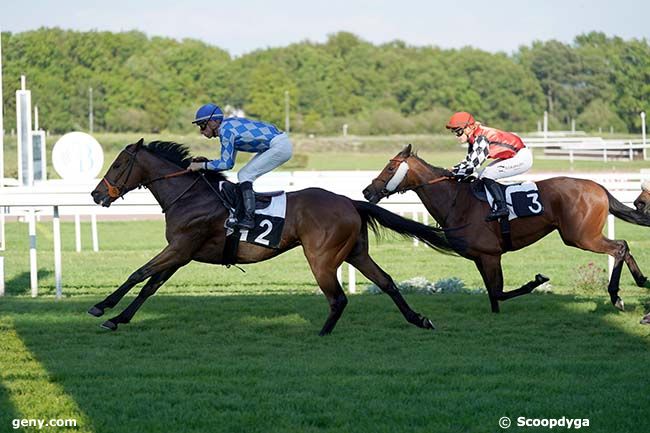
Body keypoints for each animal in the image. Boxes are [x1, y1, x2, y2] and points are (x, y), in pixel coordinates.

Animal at [88, 138, 456, 334]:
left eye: (118, 164)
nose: (96, 194)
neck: (190, 196)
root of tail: (349, 200)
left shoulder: (180, 248)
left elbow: (139, 273)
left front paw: (101, 307)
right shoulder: (183, 253)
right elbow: (150, 285)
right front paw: (118, 318)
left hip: (321, 257)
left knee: (338, 298)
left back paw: (322, 334)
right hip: (356, 252)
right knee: (387, 282)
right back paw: (418, 319)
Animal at [362, 143, 648, 316]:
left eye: (390, 167)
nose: (367, 191)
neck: (457, 201)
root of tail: (598, 187)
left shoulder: (491, 255)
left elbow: (498, 291)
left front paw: (537, 281)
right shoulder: (480, 257)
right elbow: (493, 293)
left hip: (580, 236)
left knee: (619, 247)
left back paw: (616, 296)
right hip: (583, 235)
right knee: (624, 246)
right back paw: (642, 280)